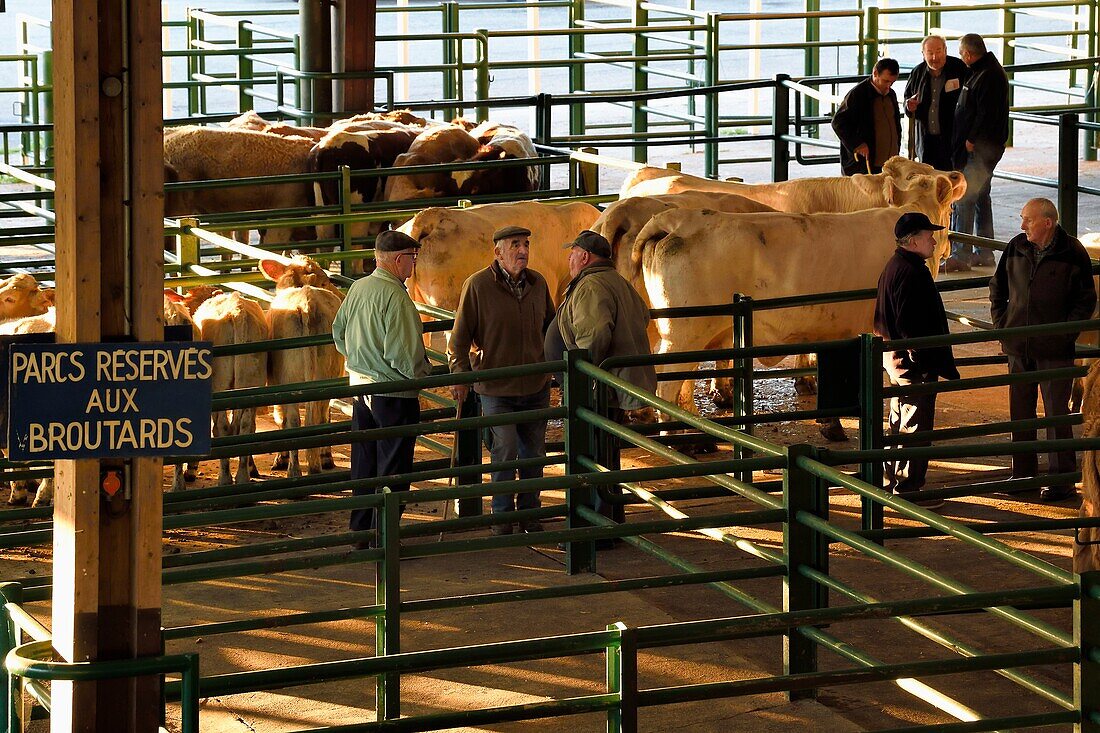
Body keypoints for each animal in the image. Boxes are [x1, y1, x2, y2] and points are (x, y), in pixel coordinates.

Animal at [257, 258, 343, 479]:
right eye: (326, 281)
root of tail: (307, 304)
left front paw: (281, 458)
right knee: (316, 416)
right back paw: (314, 465)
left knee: (299, 420)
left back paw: (298, 468)